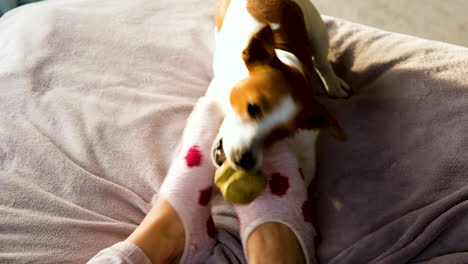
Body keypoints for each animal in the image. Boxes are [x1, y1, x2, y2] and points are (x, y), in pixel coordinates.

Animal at [207, 0, 350, 174]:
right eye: (252, 108)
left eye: (282, 134)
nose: (246, 161)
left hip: (318, 32)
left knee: (322, 62)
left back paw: (333, 82)